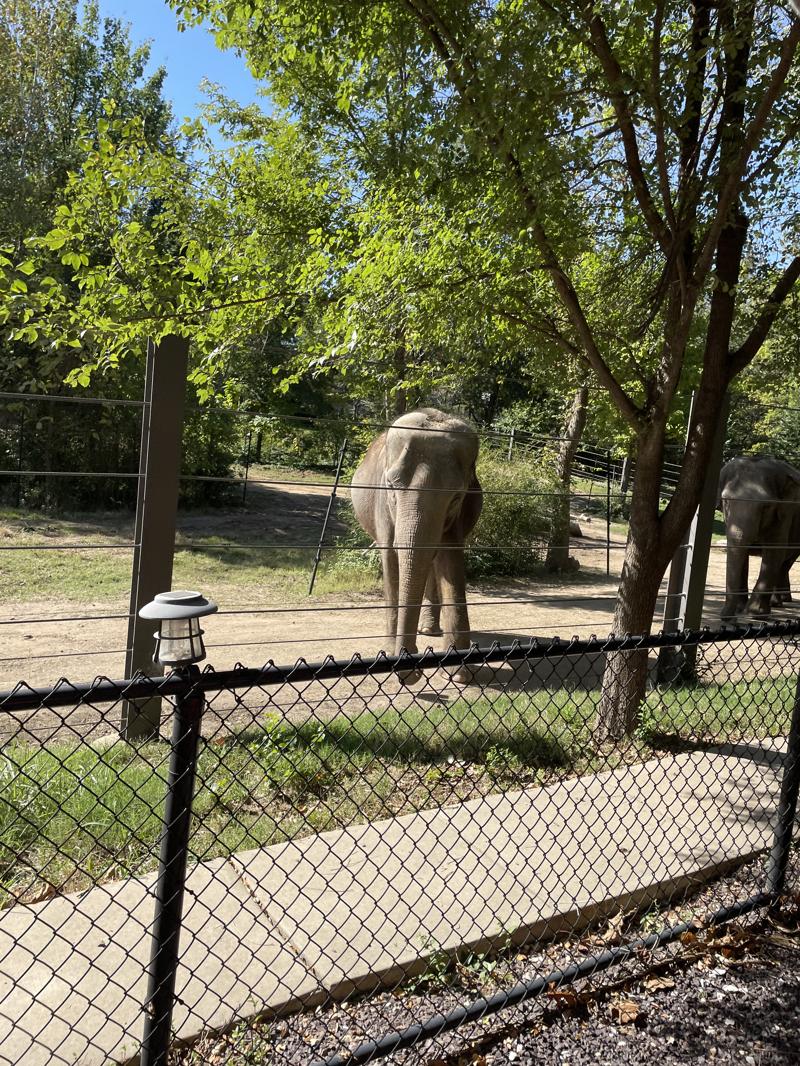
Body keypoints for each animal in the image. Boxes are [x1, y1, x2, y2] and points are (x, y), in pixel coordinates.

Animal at [351, 408, 483, 682]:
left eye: (456, 498)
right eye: (391, 486)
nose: (412, 671)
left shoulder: (458, 515)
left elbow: (450, 561)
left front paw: (458, 674)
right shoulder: (382, 505)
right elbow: (392, 561)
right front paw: (392, 657)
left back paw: (429, 630)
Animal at [718, 455, 800, 619]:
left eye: (765, 507)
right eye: (726, 501)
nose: (727, 619)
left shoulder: (785, 512)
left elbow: (774, 551)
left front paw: (755, 613)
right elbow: (740, 551)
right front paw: (739, 608)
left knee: (785, 561)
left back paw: (776, 603)